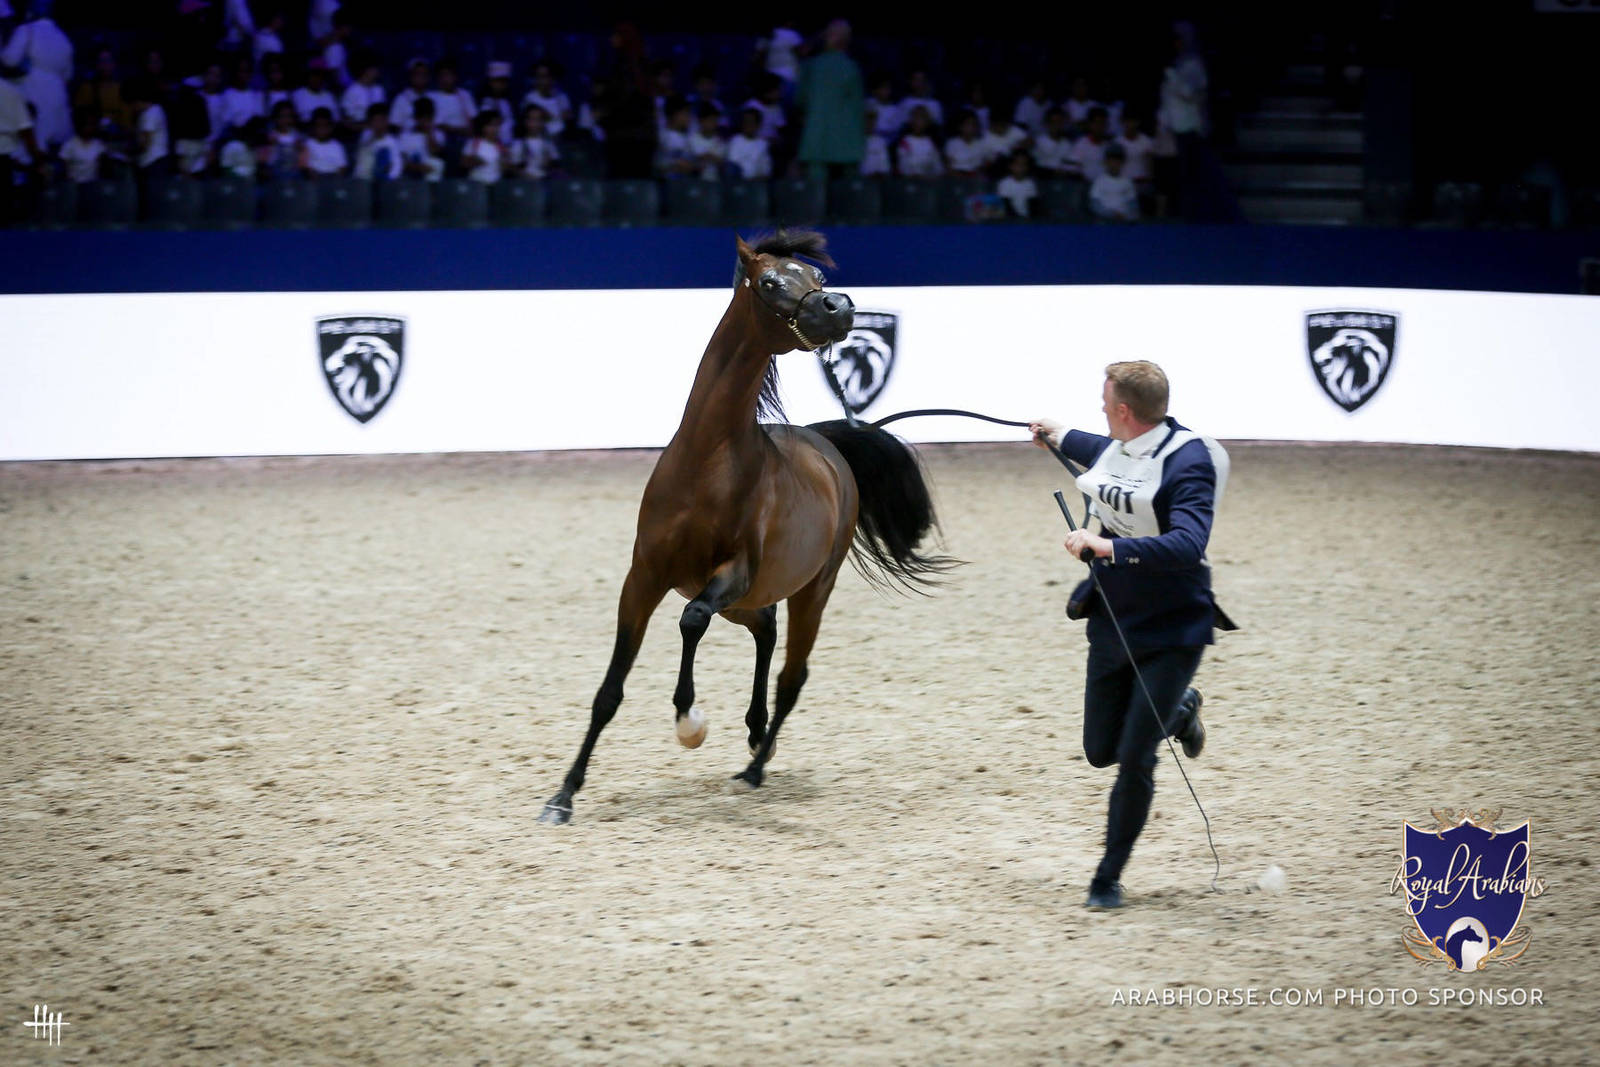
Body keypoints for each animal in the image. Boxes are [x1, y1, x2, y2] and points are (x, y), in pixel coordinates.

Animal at [538, 229, 952, 825]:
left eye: (817, 277)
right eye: (770, 282)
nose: (841, 306)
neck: (705, 463)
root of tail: (826, 446)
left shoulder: (731, 574)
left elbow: (690, 619)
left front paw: (689, 723)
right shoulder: (642, 579)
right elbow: (609, 691)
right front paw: (562, 797)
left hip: (809, 590)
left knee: (790, 675)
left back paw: (755, 767)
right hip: (748, 601)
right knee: (766, 633)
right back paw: (757, 738)